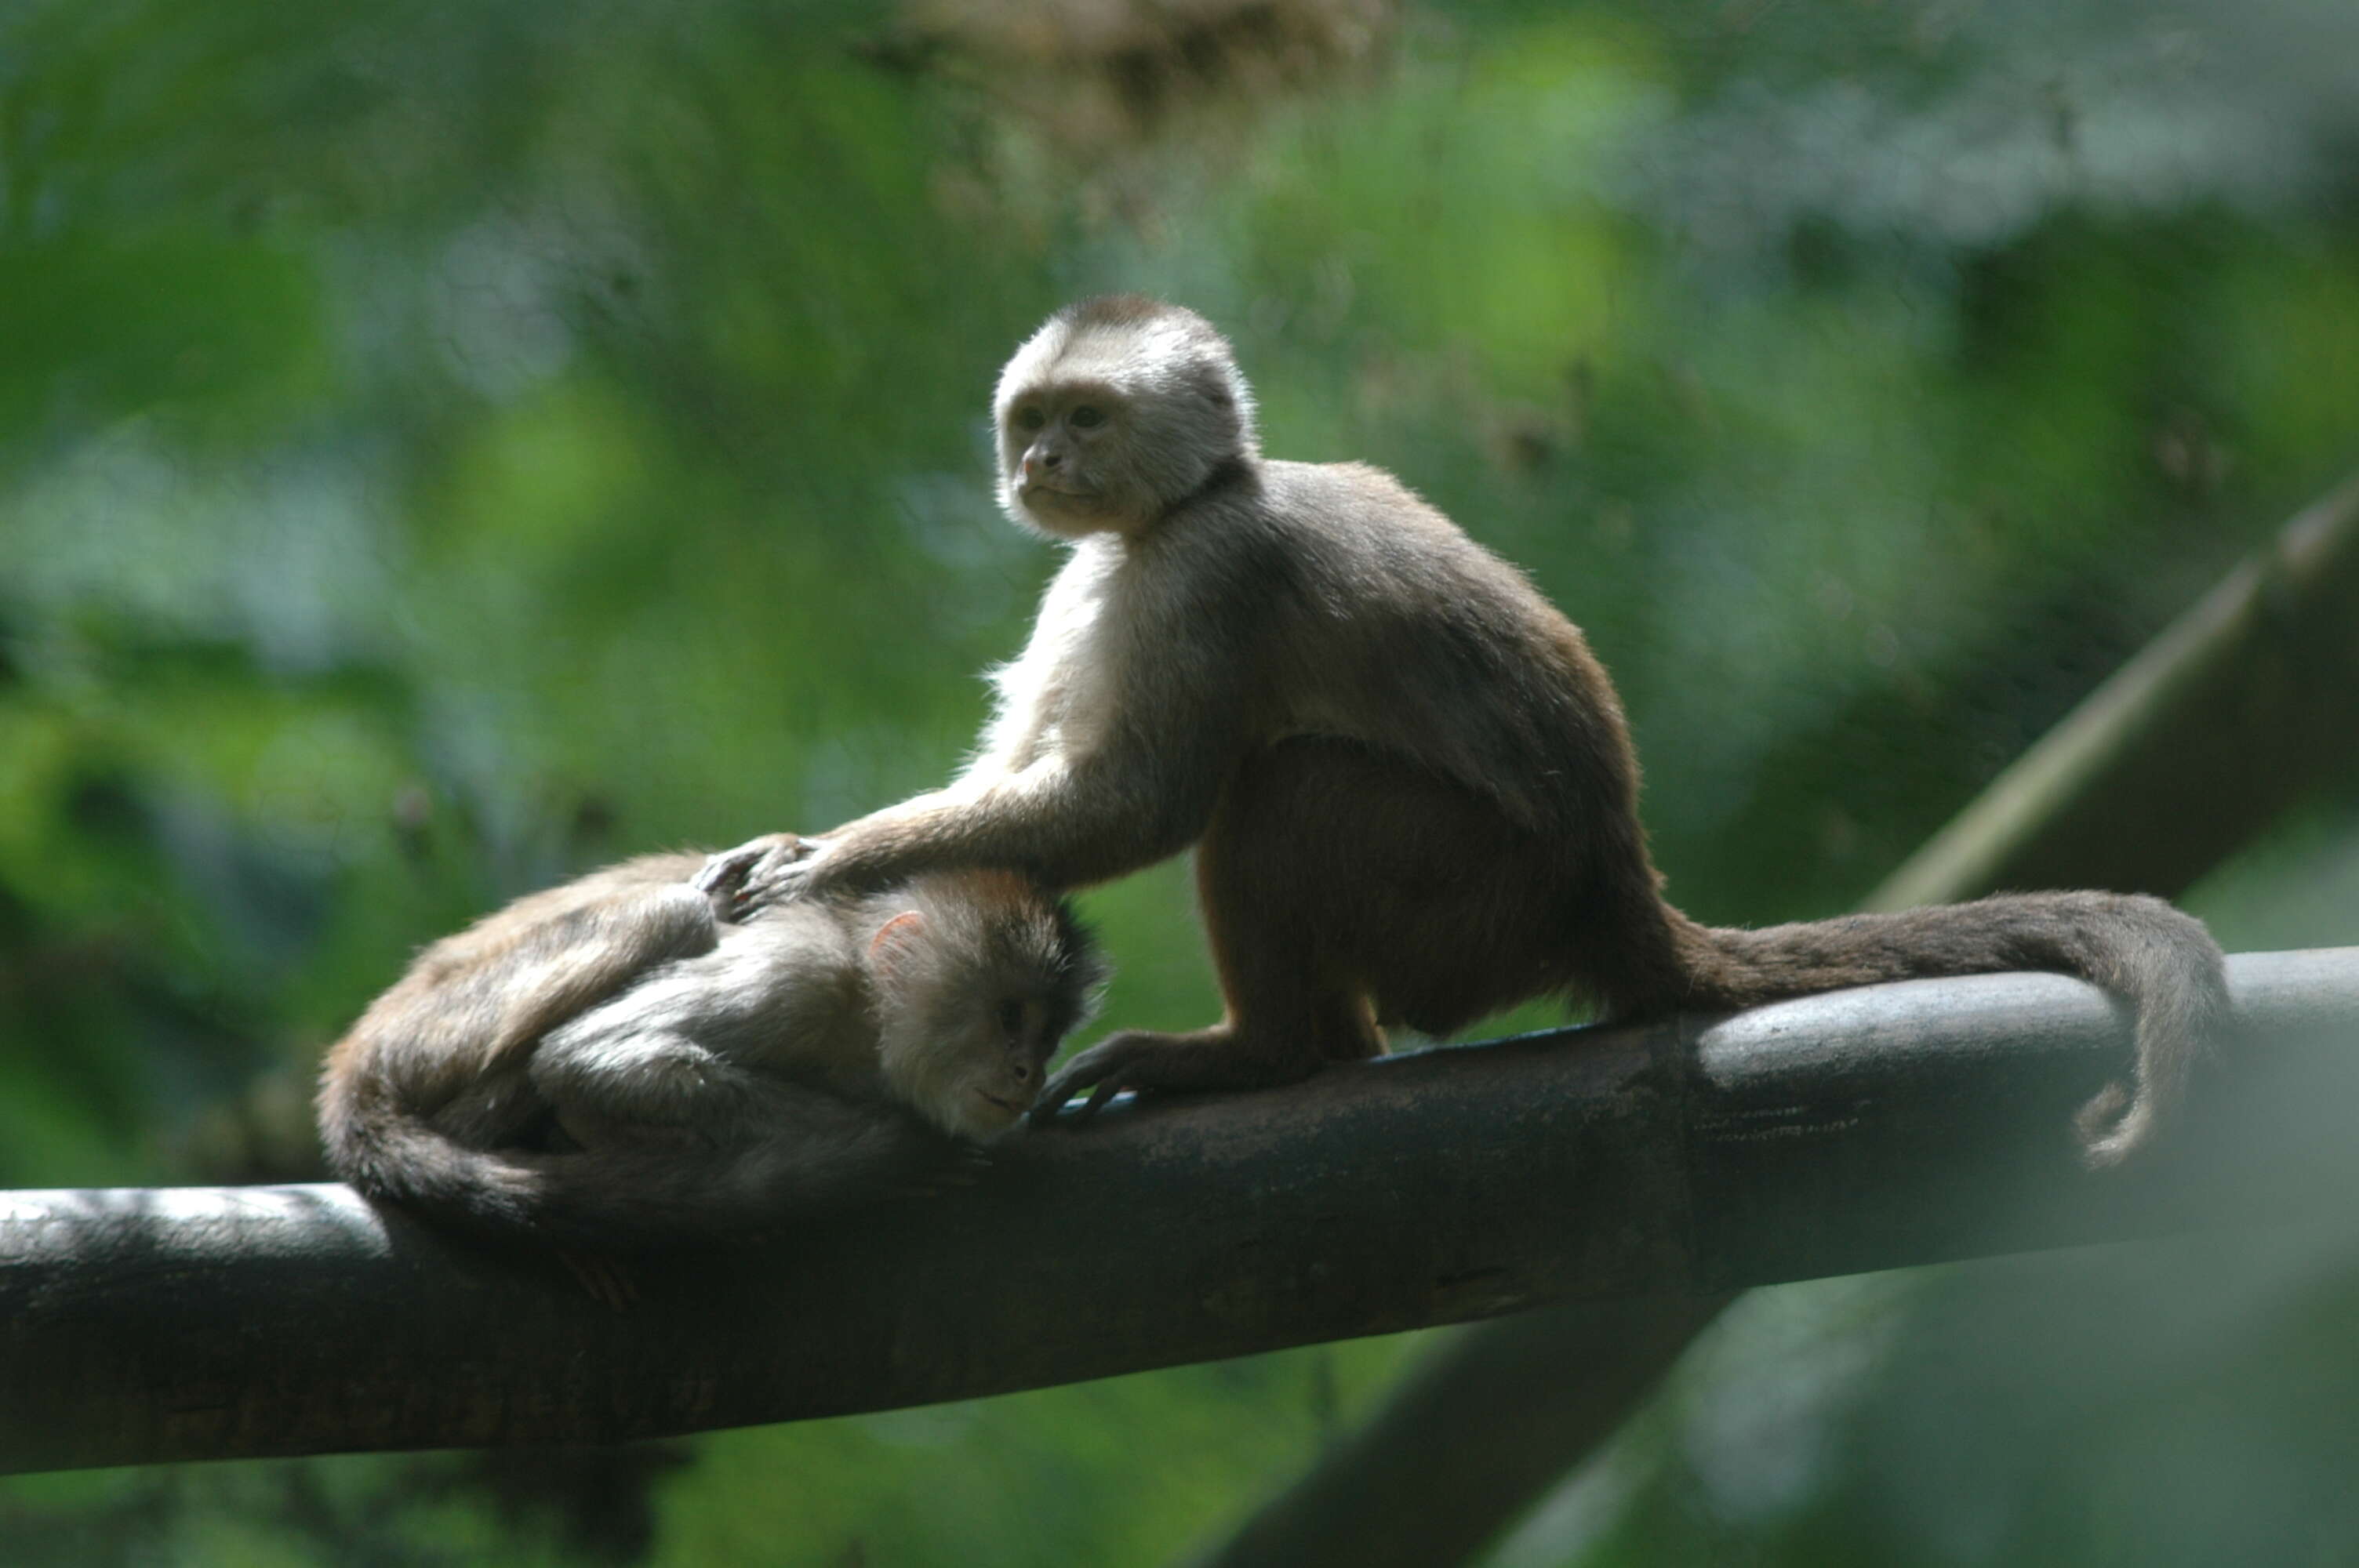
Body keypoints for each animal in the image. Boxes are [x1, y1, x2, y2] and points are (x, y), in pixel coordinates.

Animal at [311, 829, 1103, 1244]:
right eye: (1009, 1016)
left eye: (1048, 1033)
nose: (1029, 1070)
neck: (865, 1017)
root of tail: (357, 1053)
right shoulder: (799, 974)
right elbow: (586, 1058)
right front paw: (888, 1139)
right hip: (434, 1032)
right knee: (667, 914)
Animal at [717, 299, 2226, 1169]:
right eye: (1033, 421)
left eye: (1086, 419)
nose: (1041, 464)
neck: (1182, 505)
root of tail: (1617, 880)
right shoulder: (1105, 572)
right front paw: (811, 855)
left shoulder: (1205, 570)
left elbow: (1140, 803)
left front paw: (828, 870)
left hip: (1471, 909)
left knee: (1284, 792)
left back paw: (1273, 1054)